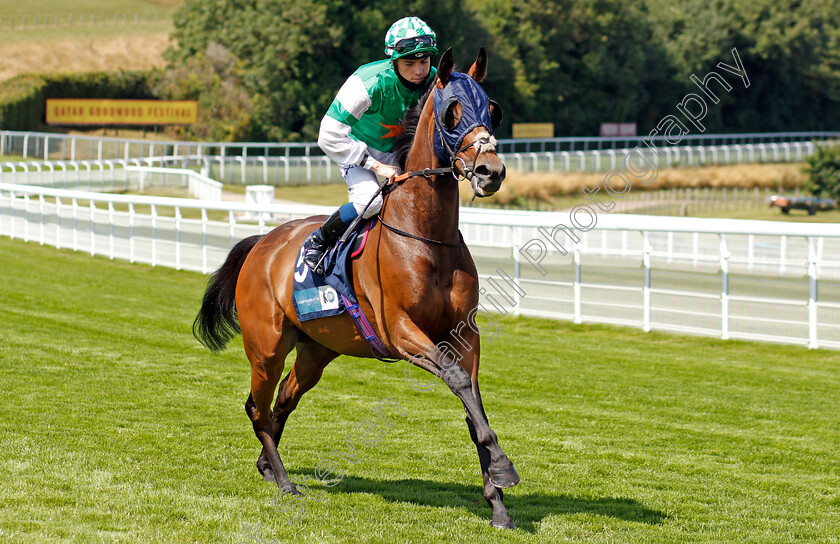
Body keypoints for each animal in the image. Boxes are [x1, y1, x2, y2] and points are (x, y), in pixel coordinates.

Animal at [195, 49, 520, 528]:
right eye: (452, 111)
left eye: (492, 109)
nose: (489, 171)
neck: (427, 236)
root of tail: (263, 244)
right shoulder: (400, 331)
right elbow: (459, 381)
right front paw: (502, 467)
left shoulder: (464, 333)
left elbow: (470, 400)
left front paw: (497, 499)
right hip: (266, 347)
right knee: (258, 407)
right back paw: (286, 482)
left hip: (316, 350)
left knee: (283, 402)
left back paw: (267, 467)